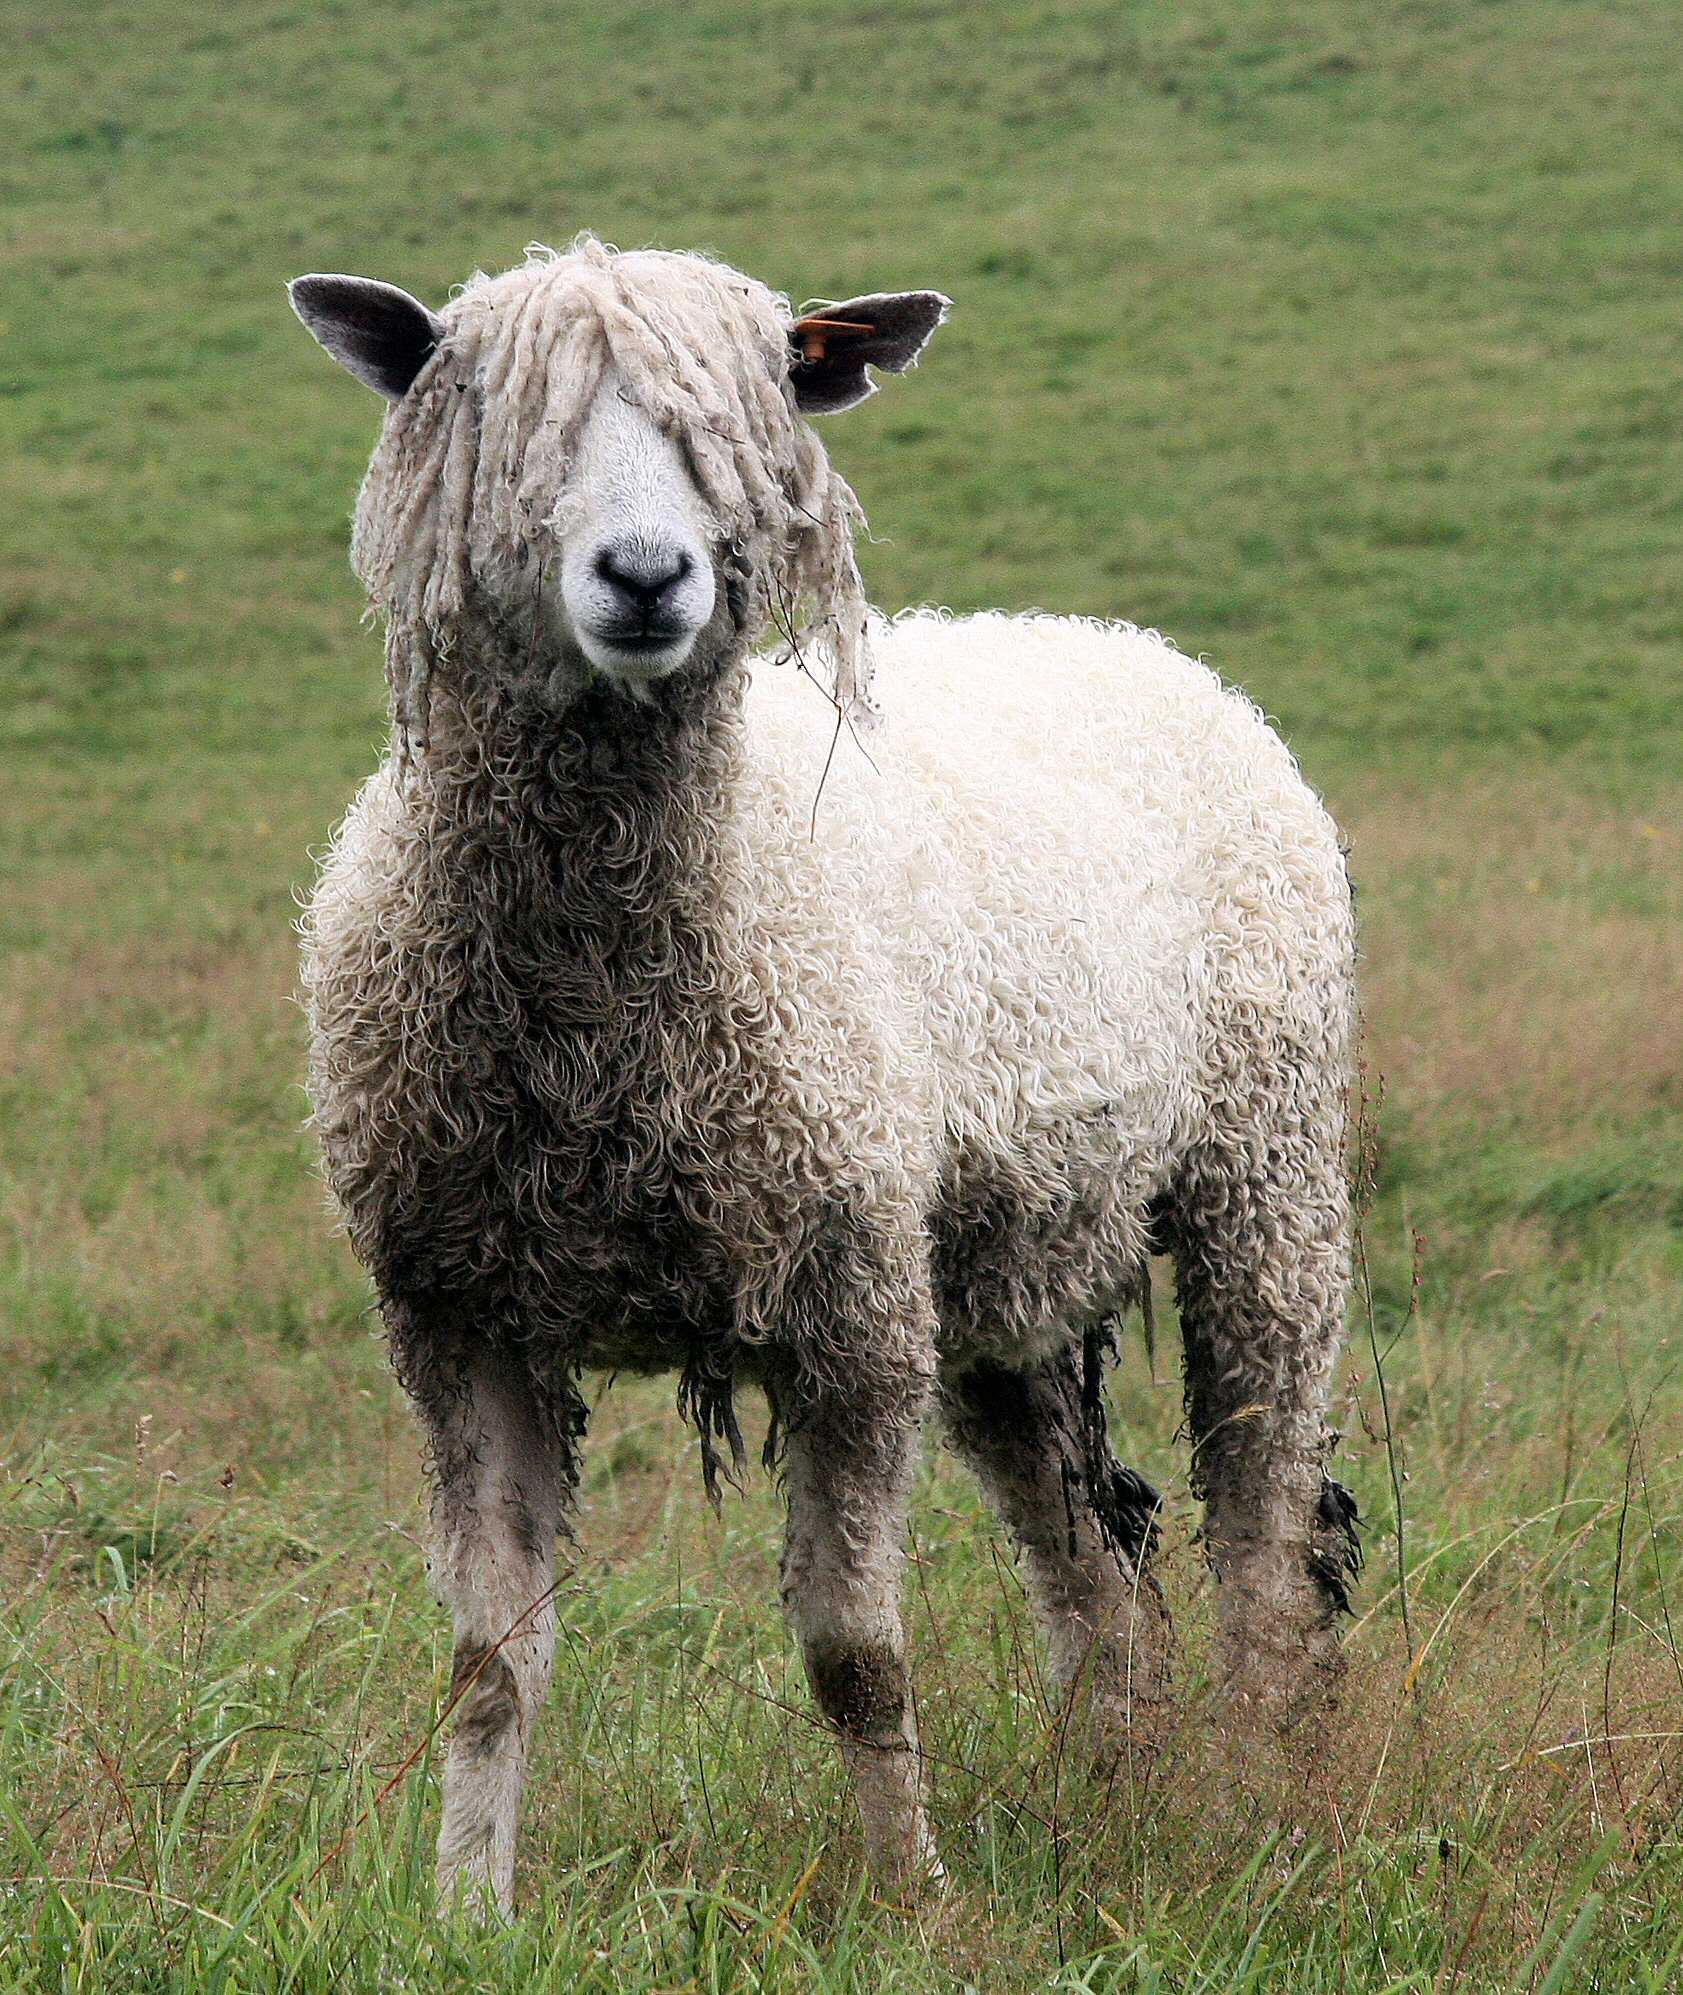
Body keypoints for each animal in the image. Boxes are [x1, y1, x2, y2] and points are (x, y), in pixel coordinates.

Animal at [289, 233, 1363, 1915]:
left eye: (755, 411)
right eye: (492, 408)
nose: (646, 576)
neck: (598, 1019)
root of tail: (1115, 642)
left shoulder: (846, 1309)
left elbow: (857, 1654)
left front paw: (913, 1904)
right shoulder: (461, 1315)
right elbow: (487, 1659)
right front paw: (468, 1910)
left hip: (1267, 1170)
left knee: (1258, 1522)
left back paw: (1246, 1804)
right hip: (997, 1265)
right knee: (1091, 1552)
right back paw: (1113, 1792)